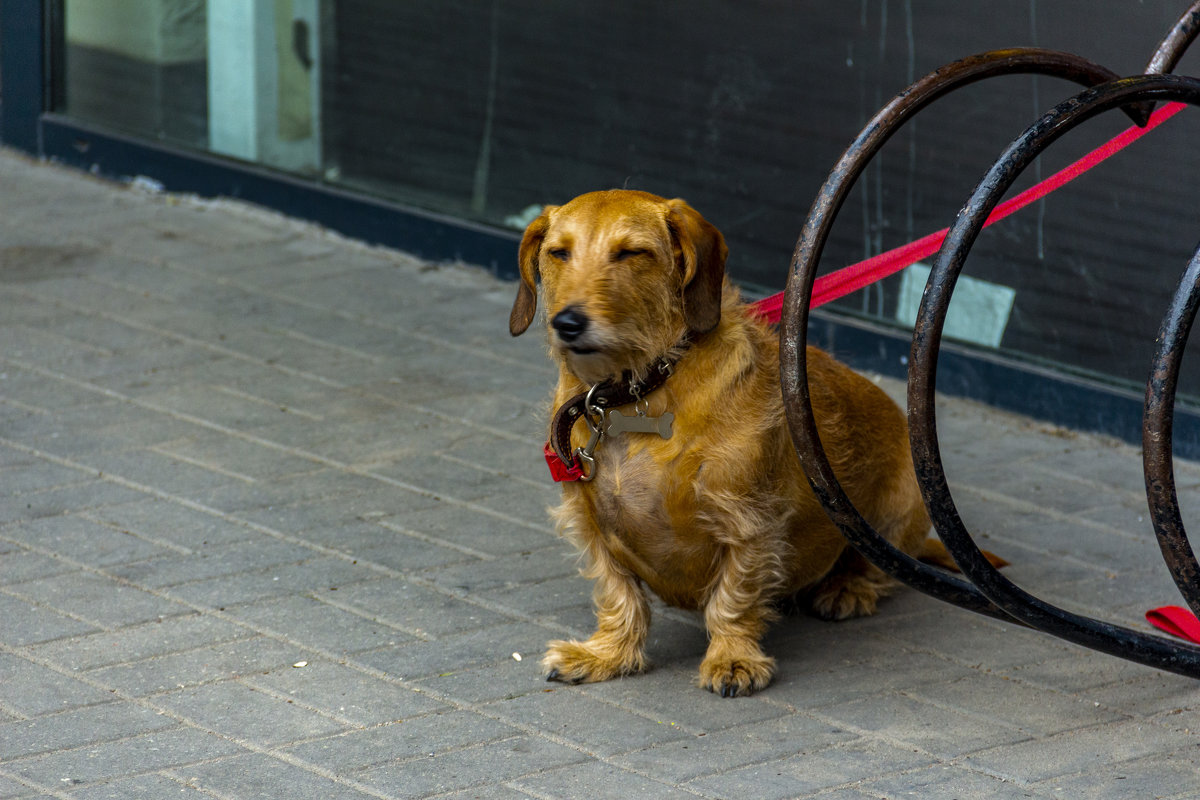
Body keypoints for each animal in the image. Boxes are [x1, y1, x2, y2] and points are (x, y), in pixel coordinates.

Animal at [506, 190, 936, 695]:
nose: (568, 323)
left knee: (879, 567)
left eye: (632, 253)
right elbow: (619, 595)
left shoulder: (748, 522)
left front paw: (733, 658)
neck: (639, 392)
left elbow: (734, 596)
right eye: (558, 253)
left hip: (887, 520)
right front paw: (606, 655)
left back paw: (847, 588)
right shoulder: (591, 524)